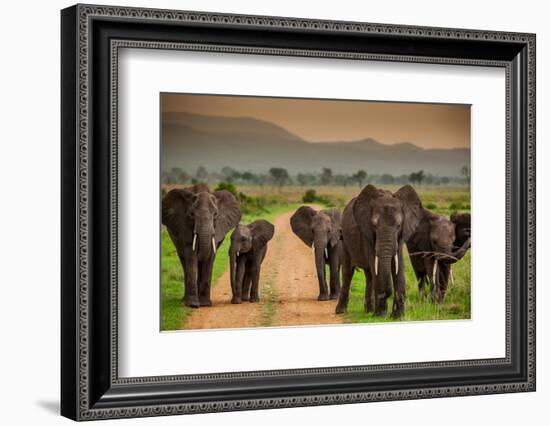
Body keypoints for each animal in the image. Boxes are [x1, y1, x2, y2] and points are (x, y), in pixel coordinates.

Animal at [336, 185, 422, 318]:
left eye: (398, 225)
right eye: (374, 225)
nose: (384, 294)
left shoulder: (401, 236)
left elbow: (399, 266)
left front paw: (398, 316)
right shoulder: (368, 235)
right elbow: (377, 267)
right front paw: (381, 315)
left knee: (369, 275)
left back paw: (369, 310)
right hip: (344, 240)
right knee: (348, 272)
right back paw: (341, 311)